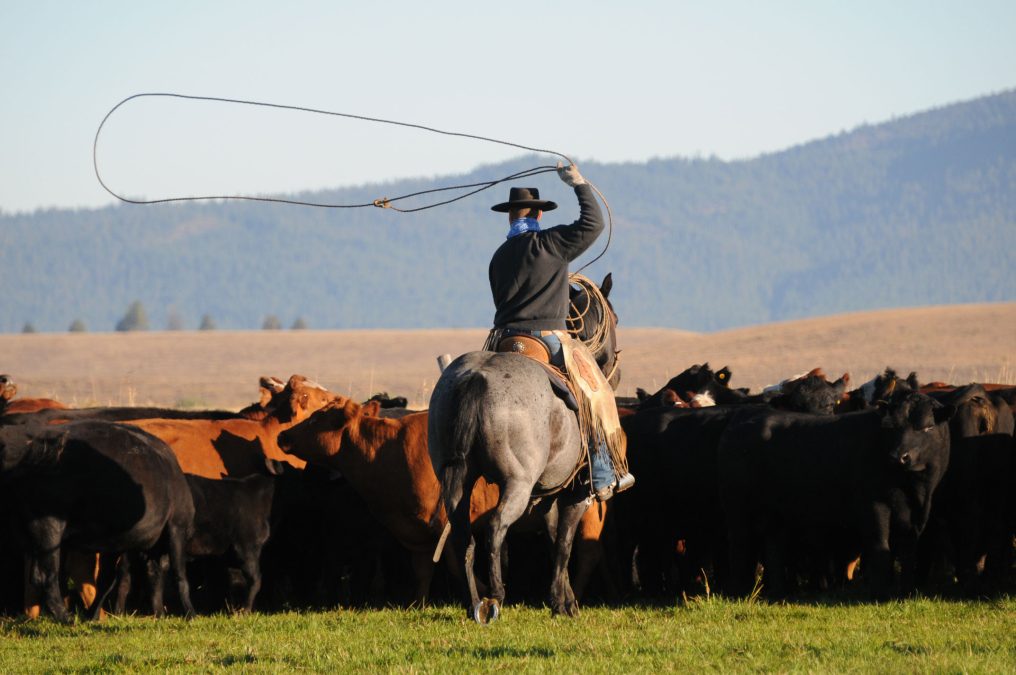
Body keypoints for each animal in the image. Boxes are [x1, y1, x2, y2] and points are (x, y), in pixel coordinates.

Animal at [428, 273, 619, 622]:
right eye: (615, 317)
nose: (617, 368)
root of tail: (476, 379)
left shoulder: (547, 496)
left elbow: (553, 539)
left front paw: (563, 599)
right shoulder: (576, 494)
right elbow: (565, 543)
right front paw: (563, 603)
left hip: (456, 478)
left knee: (463, 534)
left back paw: (473, 603)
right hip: (517, 483)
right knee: (495, 528)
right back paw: (495, 597)